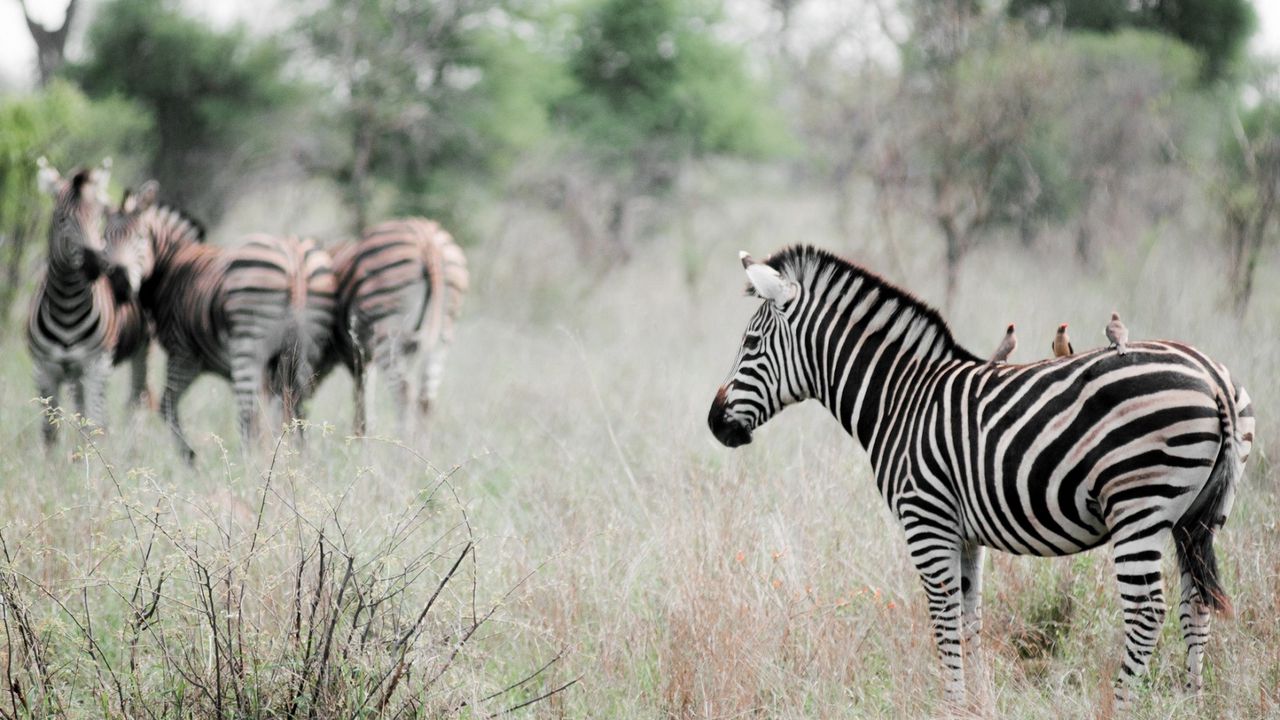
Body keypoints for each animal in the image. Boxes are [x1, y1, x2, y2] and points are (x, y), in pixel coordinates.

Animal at [26, 159, 150, 445]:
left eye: (97, 218)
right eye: (62, 219)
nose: (95, 265)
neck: (66, 305)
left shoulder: (96, 366)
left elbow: (96, 424)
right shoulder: (44, 369)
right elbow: (50, 431)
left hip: (140, 349)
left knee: (138, 402)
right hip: (74, 374)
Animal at [109, 180, 337, 458]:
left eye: (139, 238)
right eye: (105, 238)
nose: (118, 281)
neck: (171, 266)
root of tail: (294, 256)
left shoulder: (183, 354)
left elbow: (166, 404)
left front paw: (189, 457)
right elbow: (272, 413)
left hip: (247, 342)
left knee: (249, 413)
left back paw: (246, 462)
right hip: (306, 347)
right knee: (297, 405)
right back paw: (298, 459)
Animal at [325, 217, 471, 430]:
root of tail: (427, 241)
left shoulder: (357, 356)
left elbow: (362, 407)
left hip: (387, 333)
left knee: (404, 394)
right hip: (441, 334)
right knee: (425, 399)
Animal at [706, 243, 1254, 702]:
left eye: (750, 343)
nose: (714, 423)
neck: (900, 399)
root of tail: (1212, 378)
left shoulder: (926, 520)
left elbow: (944, 620)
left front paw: (952, 704)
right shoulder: (965, 533)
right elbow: (971, 619)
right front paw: (974, 703)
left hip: (1139, 504)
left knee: (1146, 613)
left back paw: (1119, 705)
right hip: (1201, 515)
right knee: (1195, 605)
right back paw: (1192, 702)